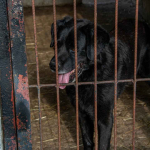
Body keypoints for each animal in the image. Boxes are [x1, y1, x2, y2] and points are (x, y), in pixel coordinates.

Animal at [49, 15, 150, 149]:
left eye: (74, 48)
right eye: (56, 45)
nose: (52, 65)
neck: (90, 77)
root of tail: (141, 21)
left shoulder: (105, 117)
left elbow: (102, 144)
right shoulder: (82, 113)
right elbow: (87, 141)